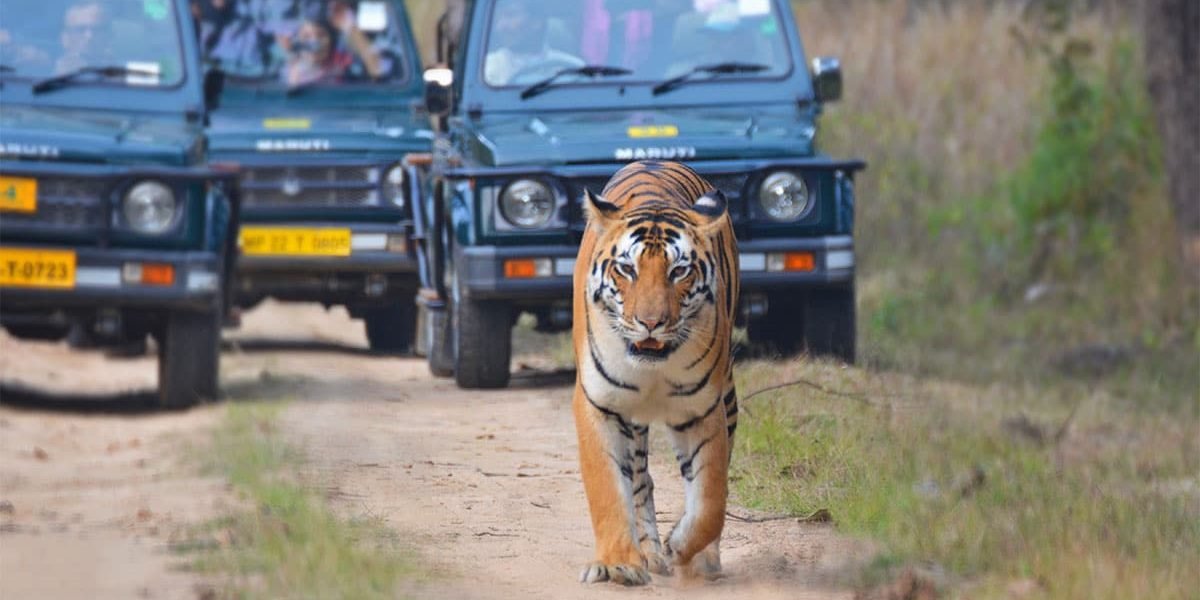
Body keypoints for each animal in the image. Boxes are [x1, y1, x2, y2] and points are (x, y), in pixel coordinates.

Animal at [571, 160, 740, 586]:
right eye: (626, 269)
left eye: (679, 271)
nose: (650, 322)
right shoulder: (599, 404)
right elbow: (608, 489)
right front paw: (618, 563)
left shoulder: (702, 410)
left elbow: (711, 496)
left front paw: (683, 547)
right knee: (640, 480)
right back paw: (646, 553)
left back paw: (699, 559)